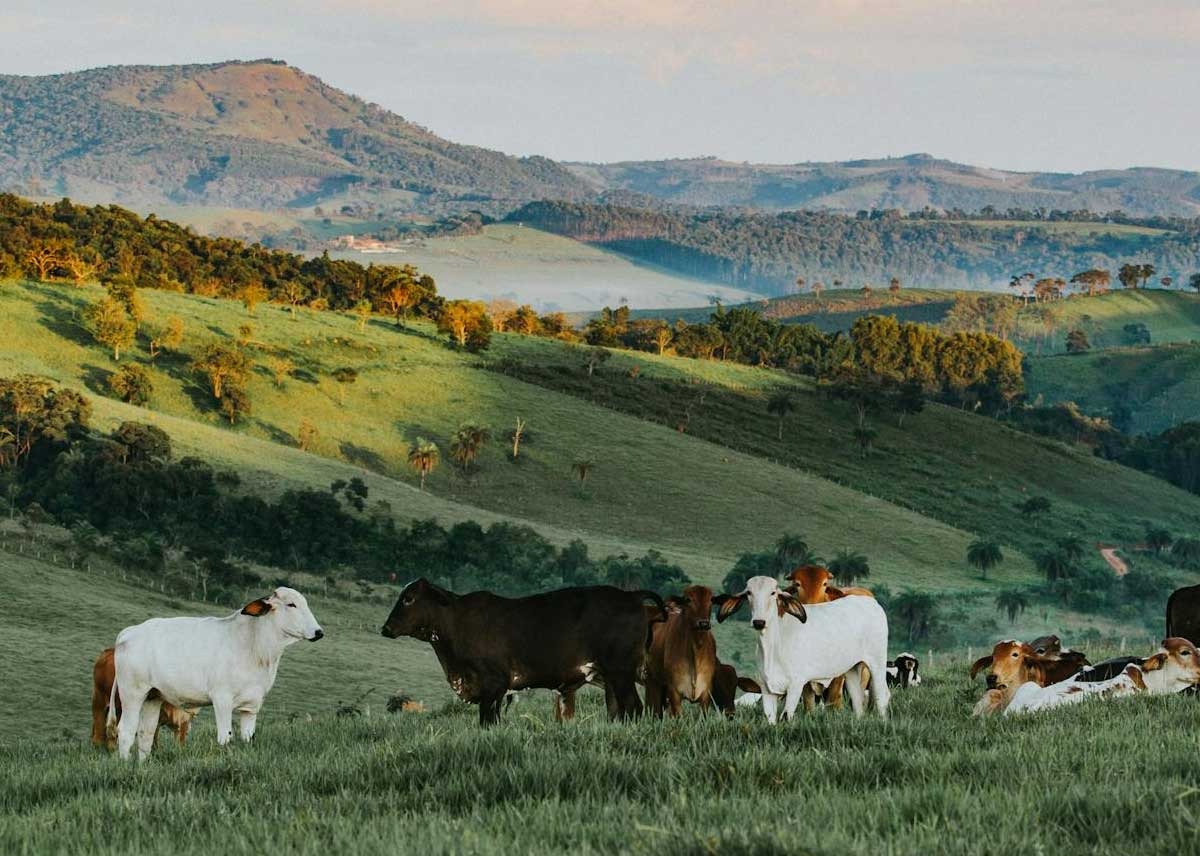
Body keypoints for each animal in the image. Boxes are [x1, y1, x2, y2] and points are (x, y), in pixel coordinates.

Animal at [108, 583, 321, 758]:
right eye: (291, 604)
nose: (319, 632)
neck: (255, 647)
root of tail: (131, 631)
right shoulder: (222, 699)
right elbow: (225, 737)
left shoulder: (252, 705)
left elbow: (247, 738)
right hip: (132, 693)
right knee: (126, 731)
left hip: (153, 696)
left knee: (146, 733)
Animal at [381, 578, 667, 725]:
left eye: (408, 598)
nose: (386, 628)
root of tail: (631, 596)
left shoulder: (493, 684)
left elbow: (487, 719)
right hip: (611, 677)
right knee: (617, 709)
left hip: (621, 672)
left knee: (633, 707)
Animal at [710, 573, 892, 720]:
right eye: (749, 593)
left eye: (773, 593)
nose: (759, 622)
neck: (773, 645)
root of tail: (872, 603)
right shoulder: (767, 689)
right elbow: (771, 719)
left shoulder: (796, 685)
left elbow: (786, 716)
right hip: (852, 668)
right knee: (858, 701)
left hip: (877, 662)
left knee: (882, 695)